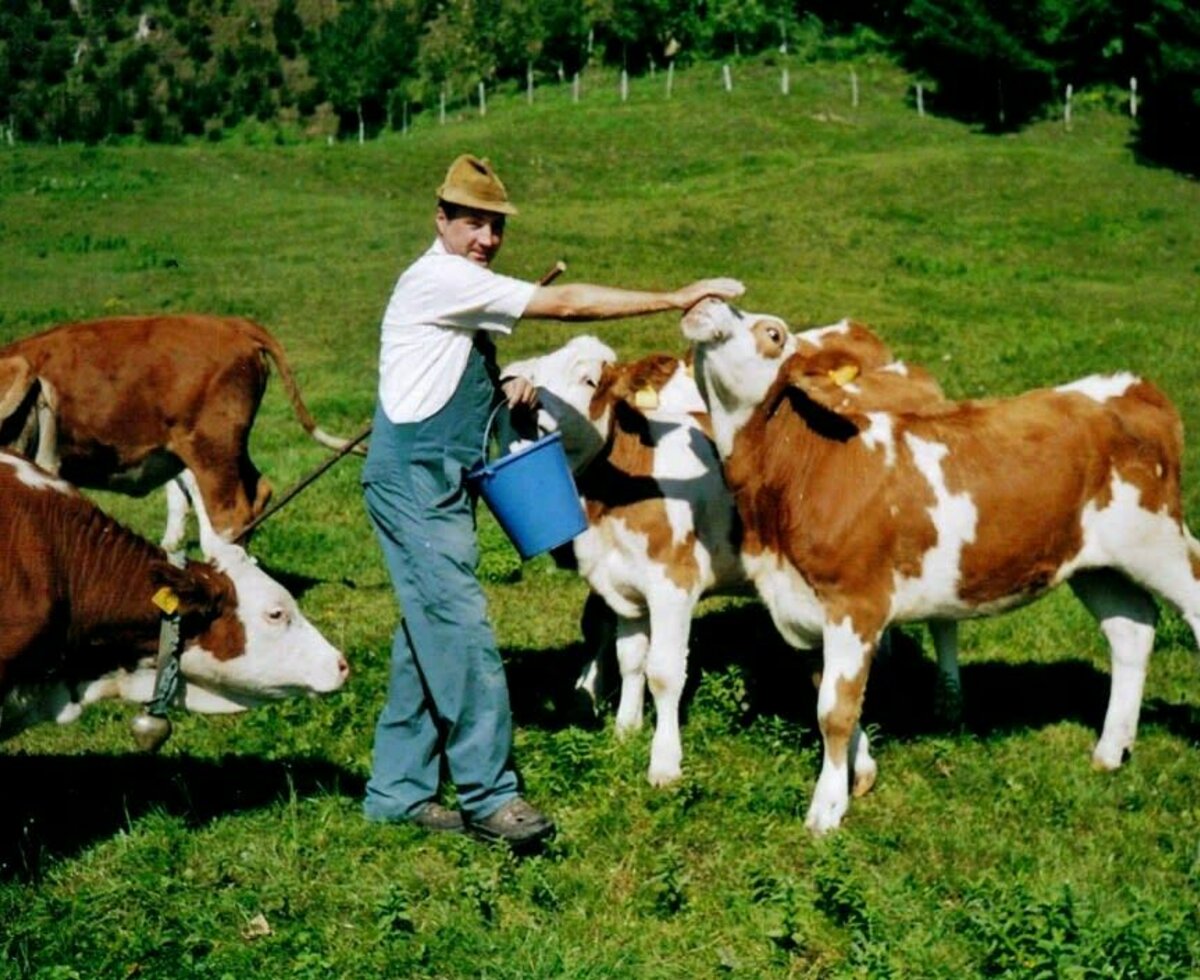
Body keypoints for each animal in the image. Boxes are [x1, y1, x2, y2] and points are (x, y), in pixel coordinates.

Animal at [499, 321, 945, 786]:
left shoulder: (673, 584)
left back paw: (945, 701)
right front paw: (625, 730)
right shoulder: (623, 585)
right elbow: (630, 659)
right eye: (531, 377)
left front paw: (664, 762)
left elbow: (664, 672)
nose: (525, 412)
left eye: (588, 380)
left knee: (942, 626)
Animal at [681, 298, 1200, 834]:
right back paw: (1111, 750)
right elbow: (830, 695)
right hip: (1094, 562)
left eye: (773, 333)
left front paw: (827, 809)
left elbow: (835, 711)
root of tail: (1132, 387)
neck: (801, 471)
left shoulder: (855, 603)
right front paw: (862, 772)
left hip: (1157, 542)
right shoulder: (800, 605)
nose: (709, 301)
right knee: (1131, 630)